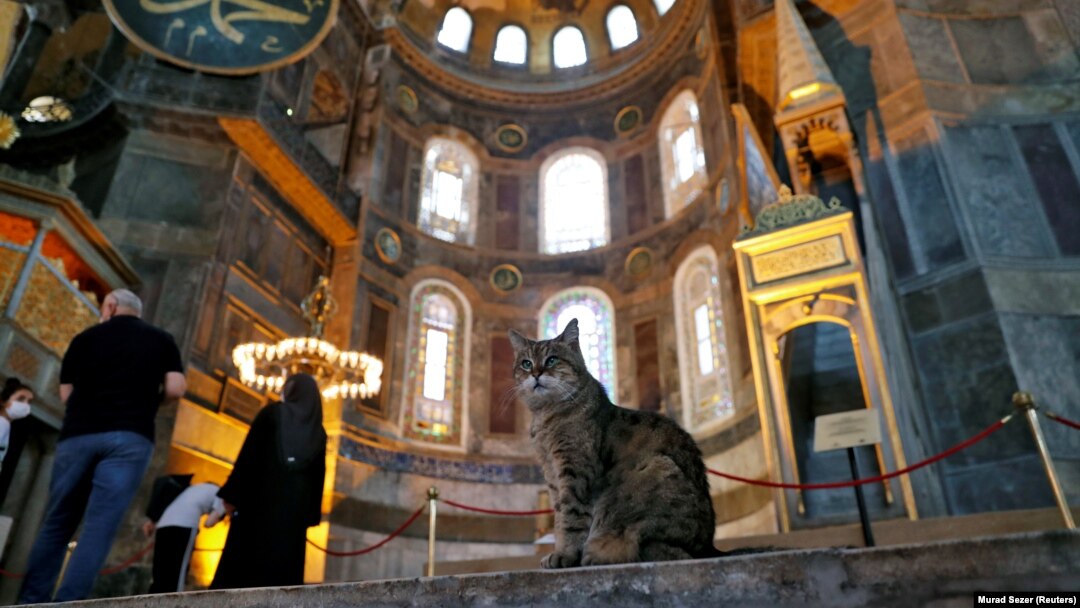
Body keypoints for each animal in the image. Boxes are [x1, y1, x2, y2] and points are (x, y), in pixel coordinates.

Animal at [507, 321, 717, 570]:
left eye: (551, 360)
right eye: (526, 363)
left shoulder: (575, 470)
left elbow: (570, 517)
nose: (536, 373)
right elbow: (559, 516)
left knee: (667, 552)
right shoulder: (551, 474)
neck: (546, 416)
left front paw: (565, 555)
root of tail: (711, 547)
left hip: (656, 470)